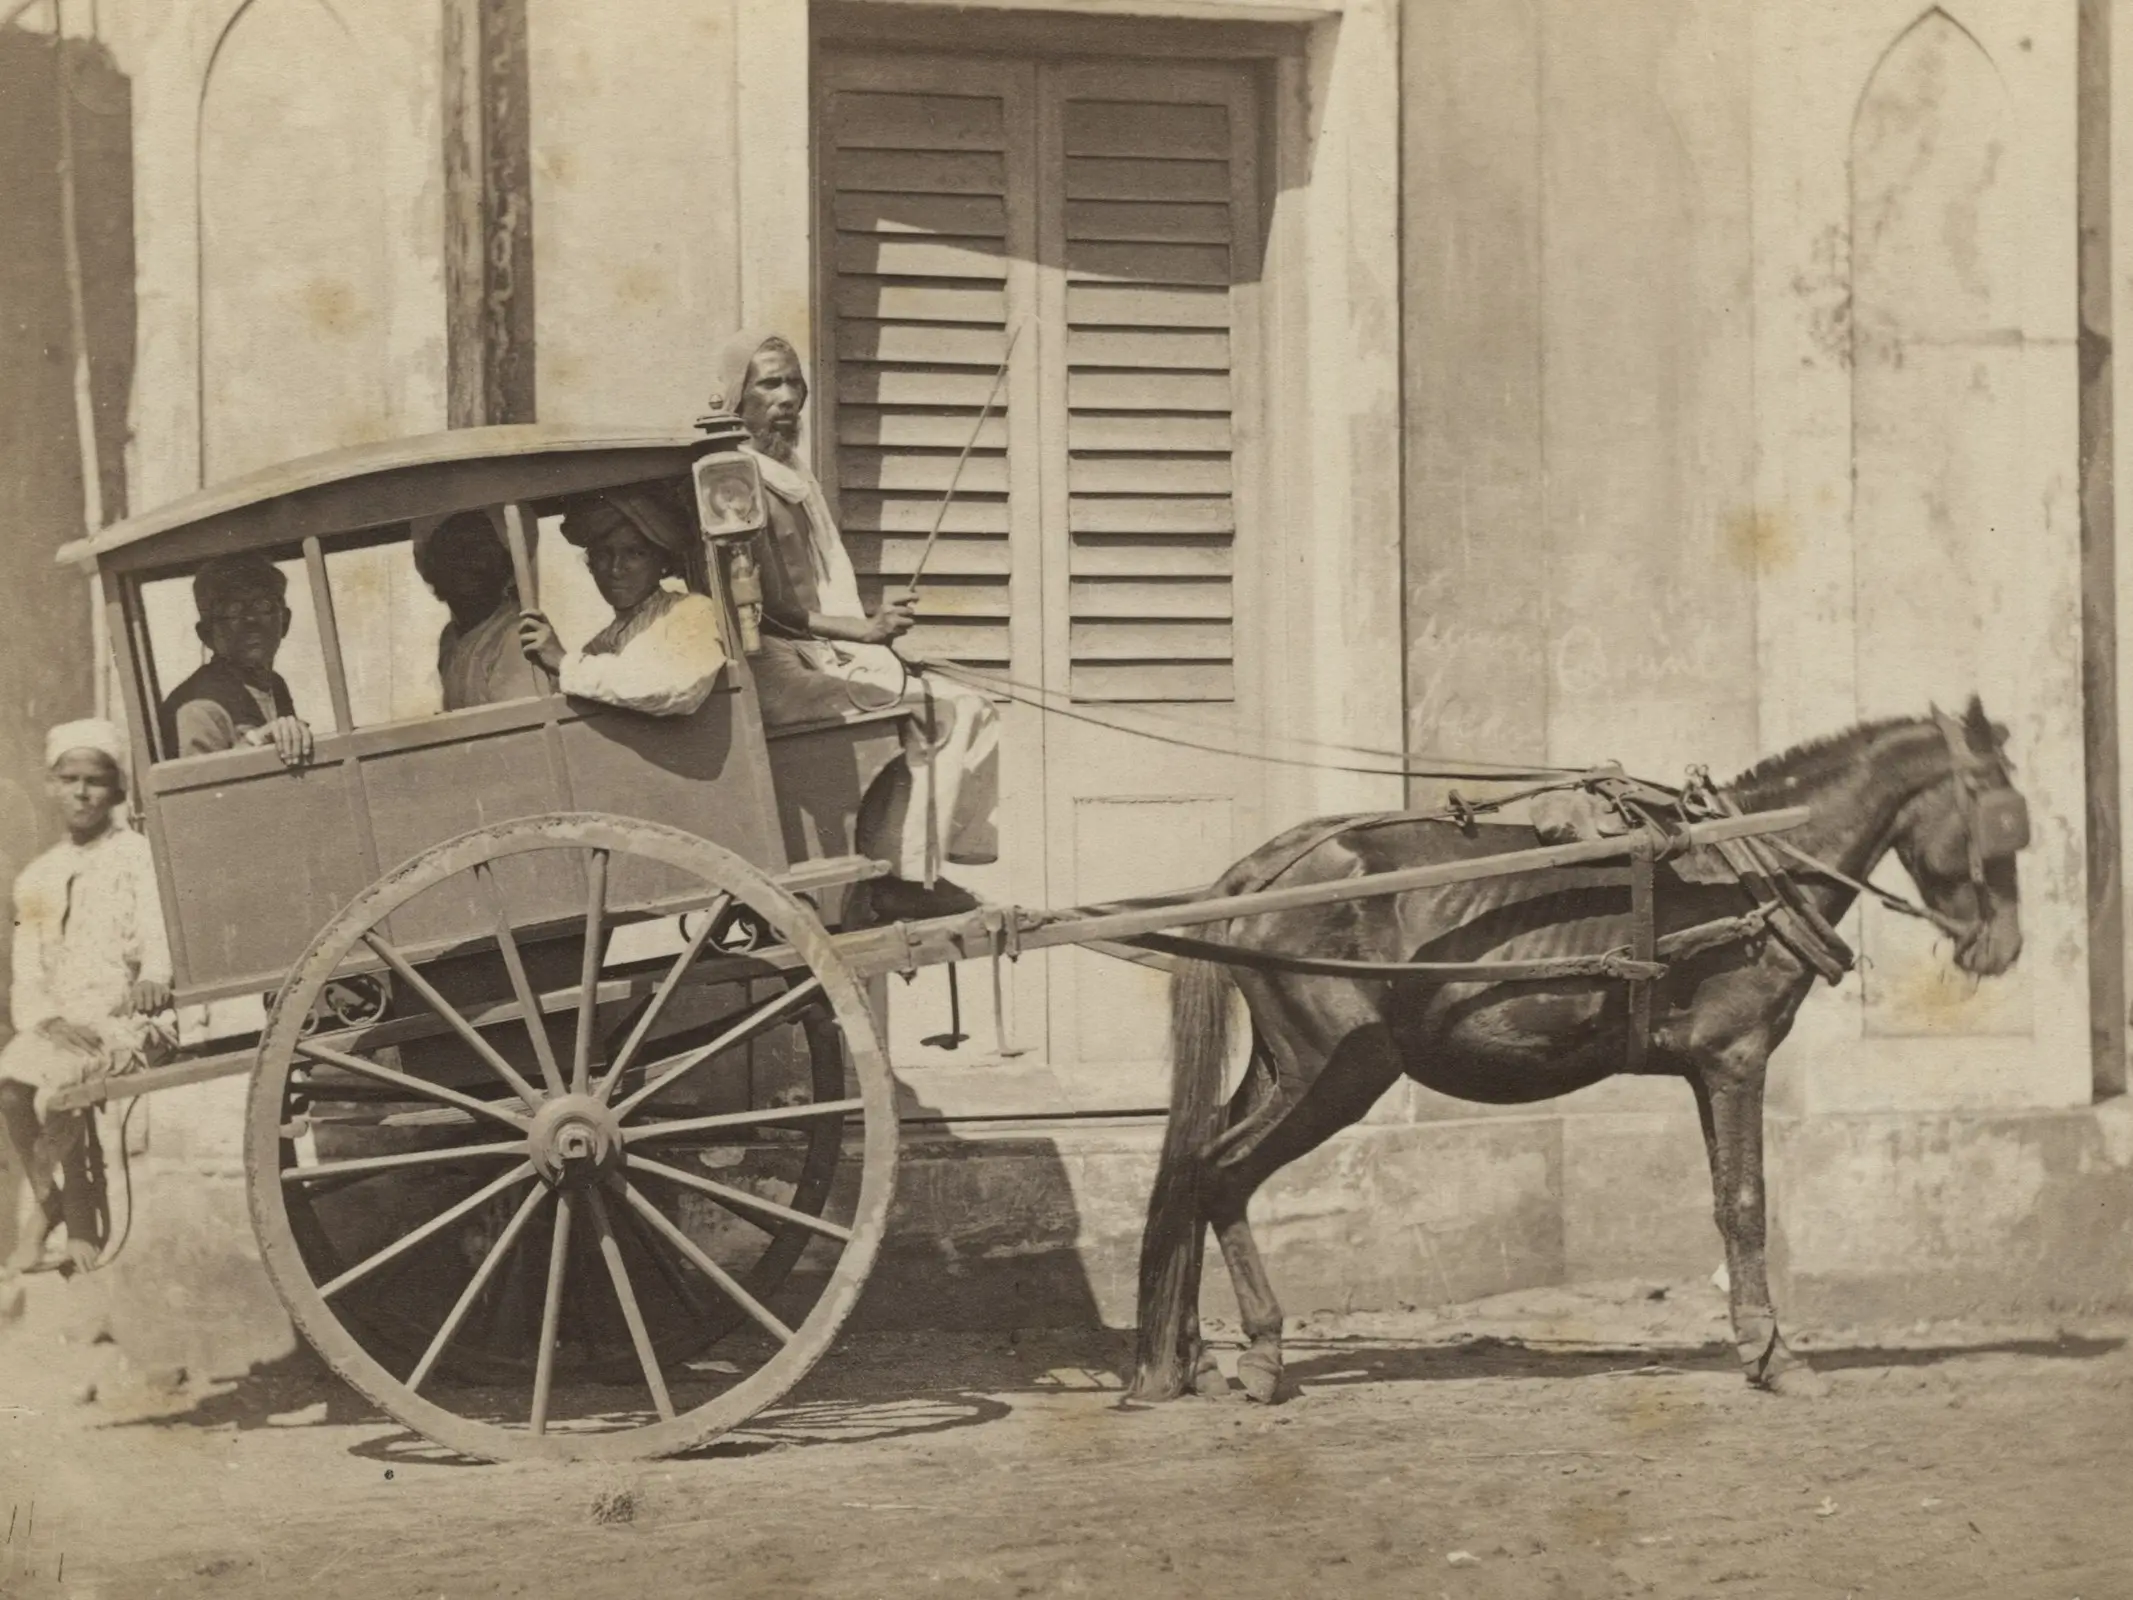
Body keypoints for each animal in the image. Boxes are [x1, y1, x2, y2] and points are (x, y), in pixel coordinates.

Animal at [1126, 699, 2022, 1399]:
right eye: (2003, 822)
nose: (2001, 949)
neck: (1749, 866)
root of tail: (1258, 874)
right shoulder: (1736, 1059)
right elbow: (1746, 1203)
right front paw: (1772, 1355)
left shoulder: (1706, 1070)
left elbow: (1723, 1200)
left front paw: (1755, 1342)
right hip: (1338, 1069)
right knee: (1222, 1174)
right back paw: (1261, 1353)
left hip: (1285, 1068)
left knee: (1194, 1166)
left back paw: (1192, 1359)